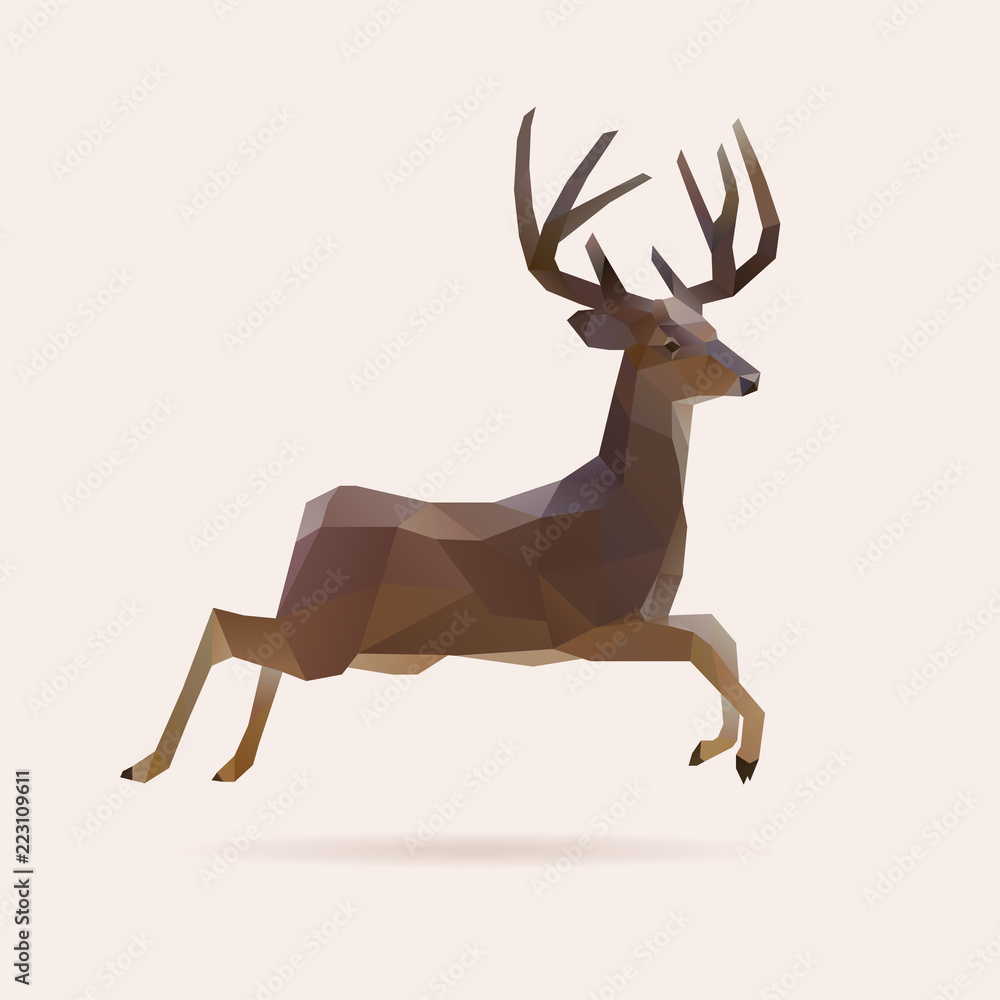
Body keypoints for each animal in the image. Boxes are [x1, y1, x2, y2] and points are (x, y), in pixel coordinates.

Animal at [122, 109, 778, 786]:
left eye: (711, 328)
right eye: (669, 344)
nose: (752, 377)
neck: (626, 514)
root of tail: (312, 517)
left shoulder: (644, 618)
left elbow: (721, 634)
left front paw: (715, 745)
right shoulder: (588, 628)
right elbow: (705, 647)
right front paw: (746, 754)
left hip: (321, 626)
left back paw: (235, 763)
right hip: (330, 636)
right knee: (223, 627)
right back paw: (149, 763)